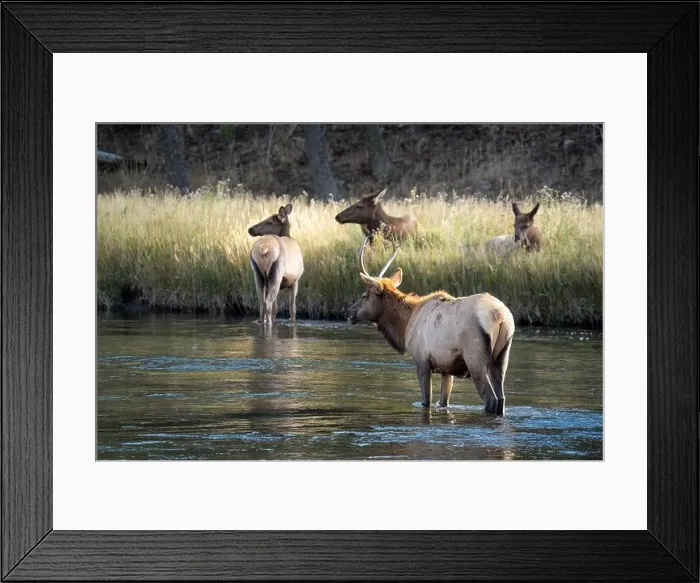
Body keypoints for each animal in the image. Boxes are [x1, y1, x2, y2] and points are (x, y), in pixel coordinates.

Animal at [348, 237, 515, 415]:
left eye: (364, 295)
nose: (349, 312)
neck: (405, 325)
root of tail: (500, 315)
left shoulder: (422, 361)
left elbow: (425, 401)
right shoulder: (446, 369)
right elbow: (443, 402)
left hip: (475, 357)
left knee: (491, 399)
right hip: (502, 357)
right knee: (501, 399)